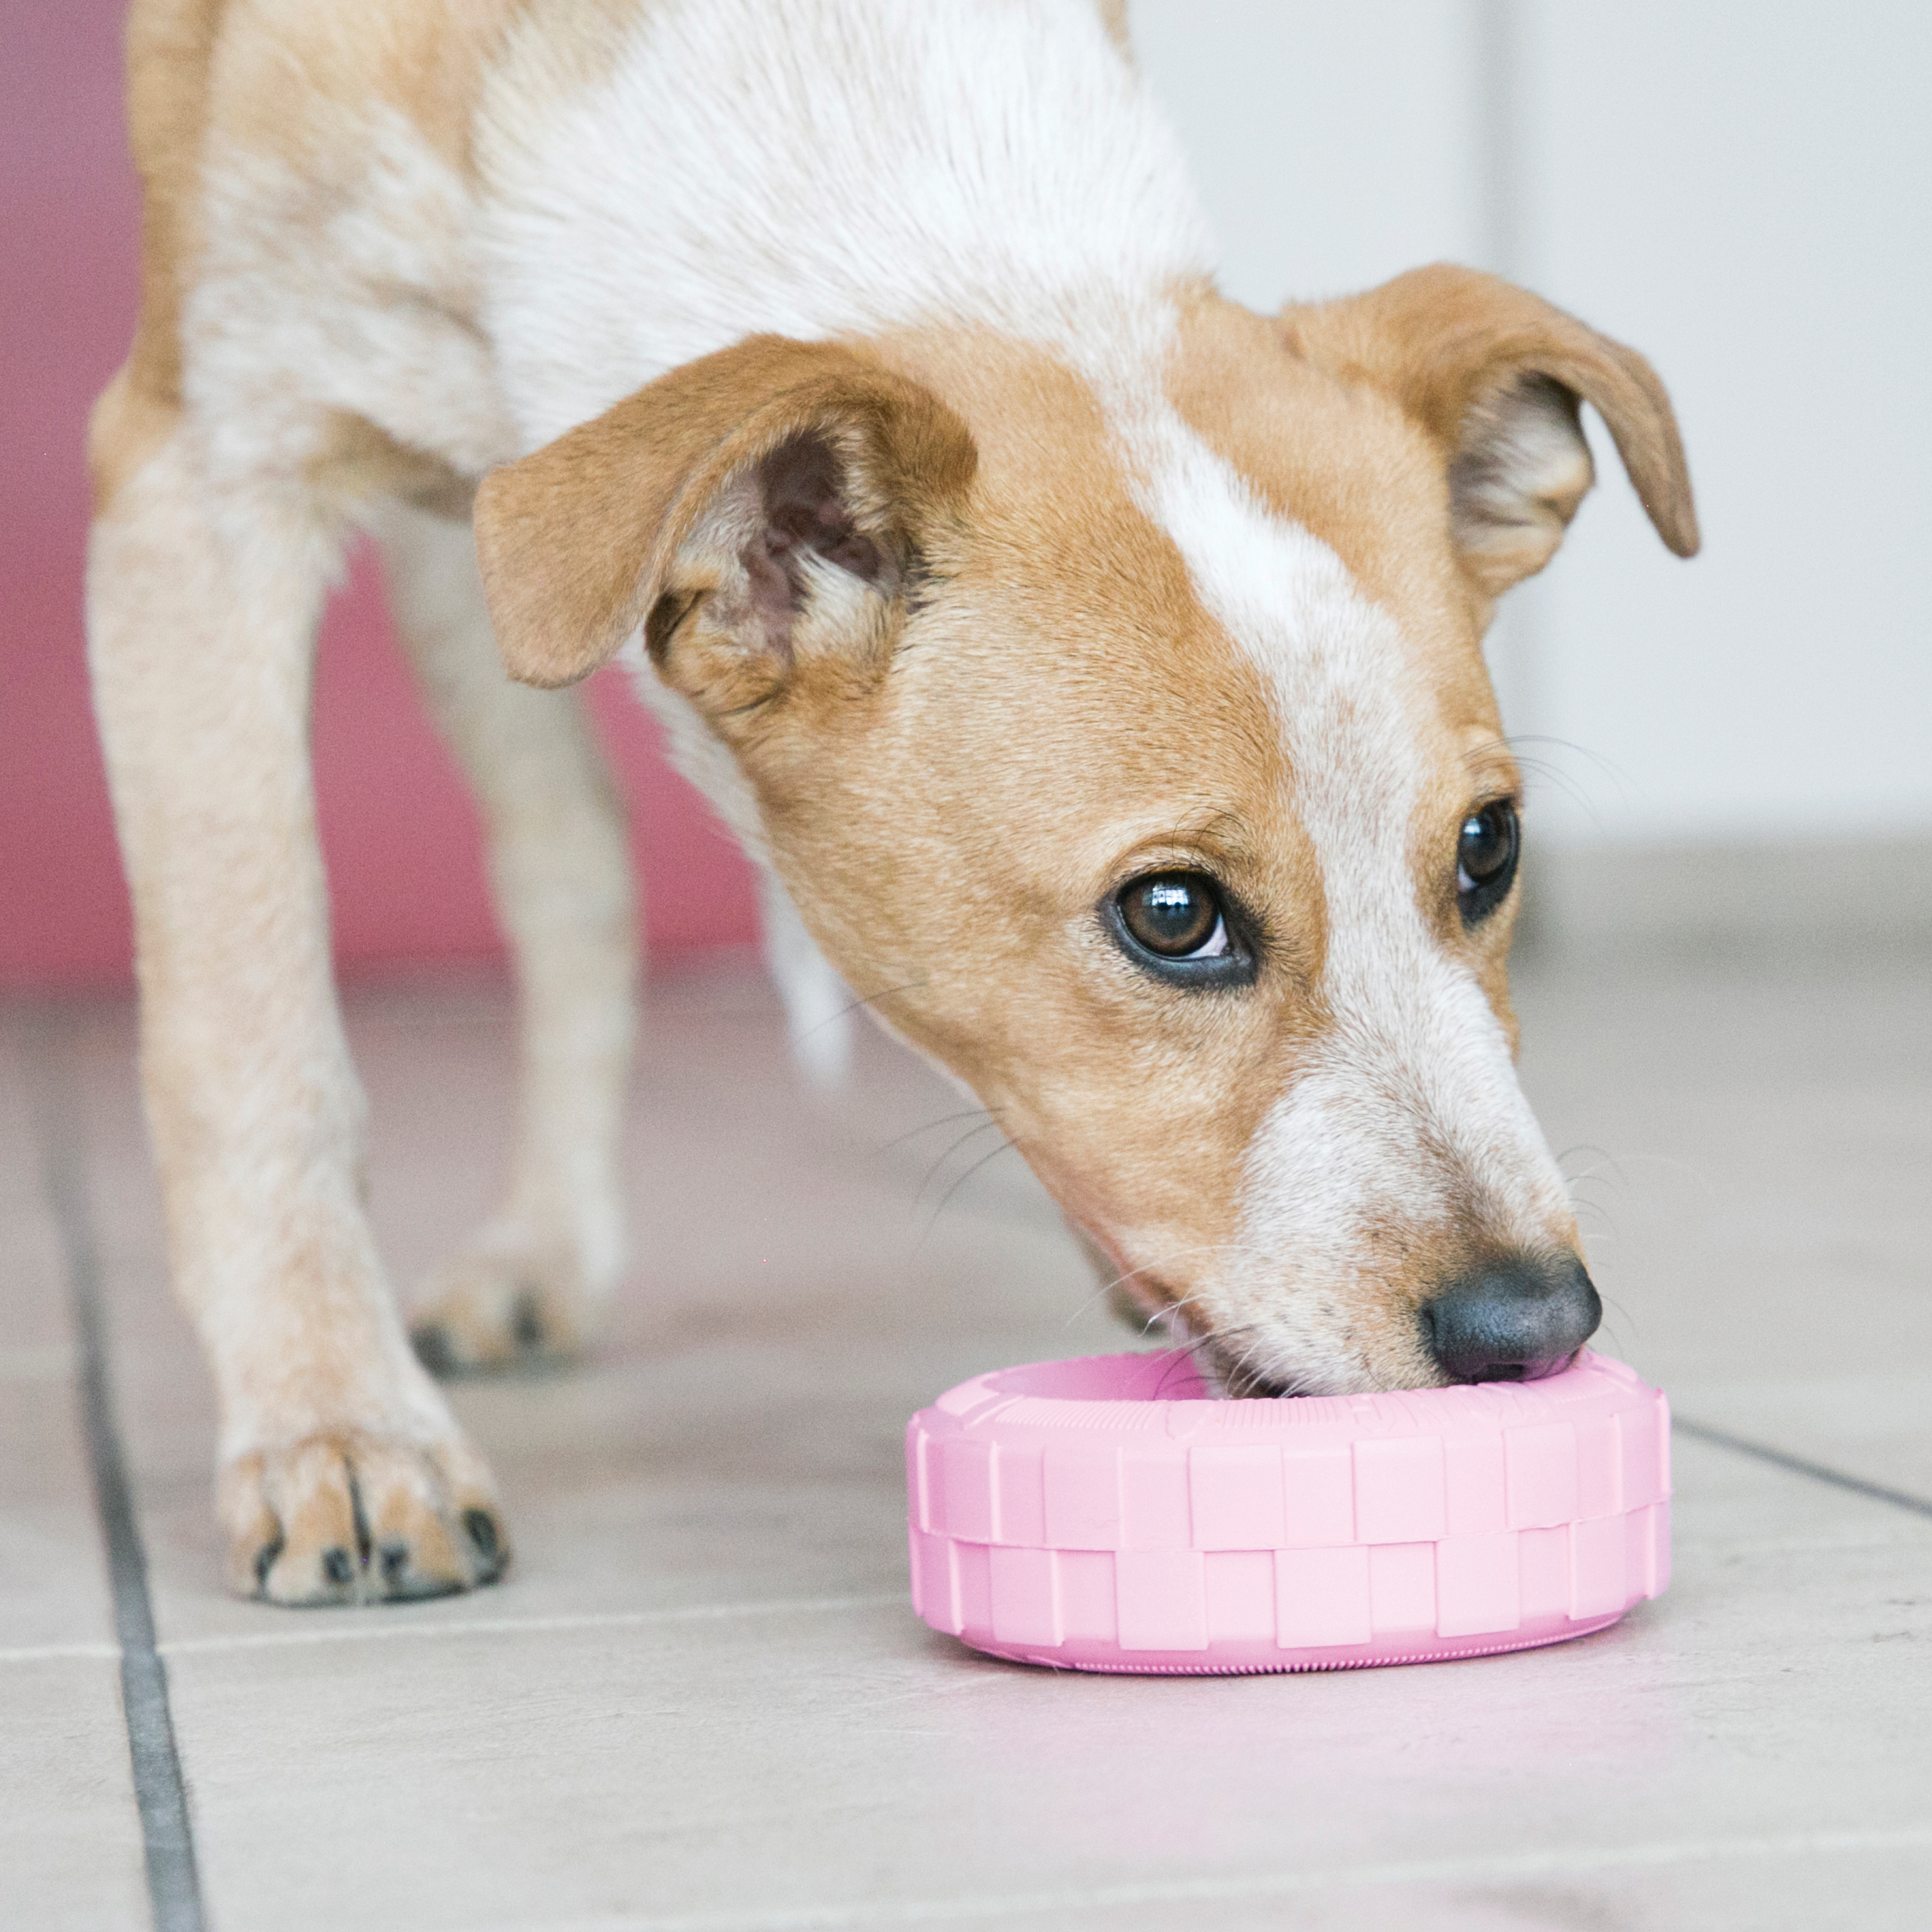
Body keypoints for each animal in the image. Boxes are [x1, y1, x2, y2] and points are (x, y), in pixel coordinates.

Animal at [91, 0, 1692, 1600]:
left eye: (1490, 848)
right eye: (1173, 914)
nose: (1535, 1329)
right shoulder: (198, 480)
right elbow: (256, 1050)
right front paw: (339, 1433)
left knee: (570, 871)